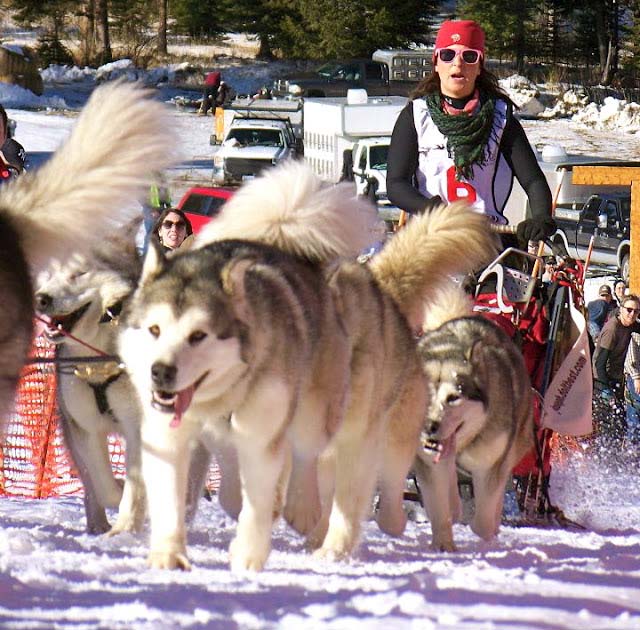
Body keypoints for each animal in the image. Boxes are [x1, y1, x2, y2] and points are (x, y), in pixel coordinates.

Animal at [120, 162, 498, 572]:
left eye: (198, 335)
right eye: (155, 329)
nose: (161, 372)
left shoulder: (263, 434)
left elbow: (264, 493)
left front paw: (250, 555)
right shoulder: (169, 436)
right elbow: (177, 494)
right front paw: (168, 554)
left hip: (343, 418)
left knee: (327, 465)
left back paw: (333, 527)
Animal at [416, 286, 536, 552]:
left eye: (453, 397)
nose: (429, 427)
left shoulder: (491, 463)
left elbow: (482, 522)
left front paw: (487, 530)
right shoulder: (429, 462)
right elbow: (439, 507)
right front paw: (443, 543)